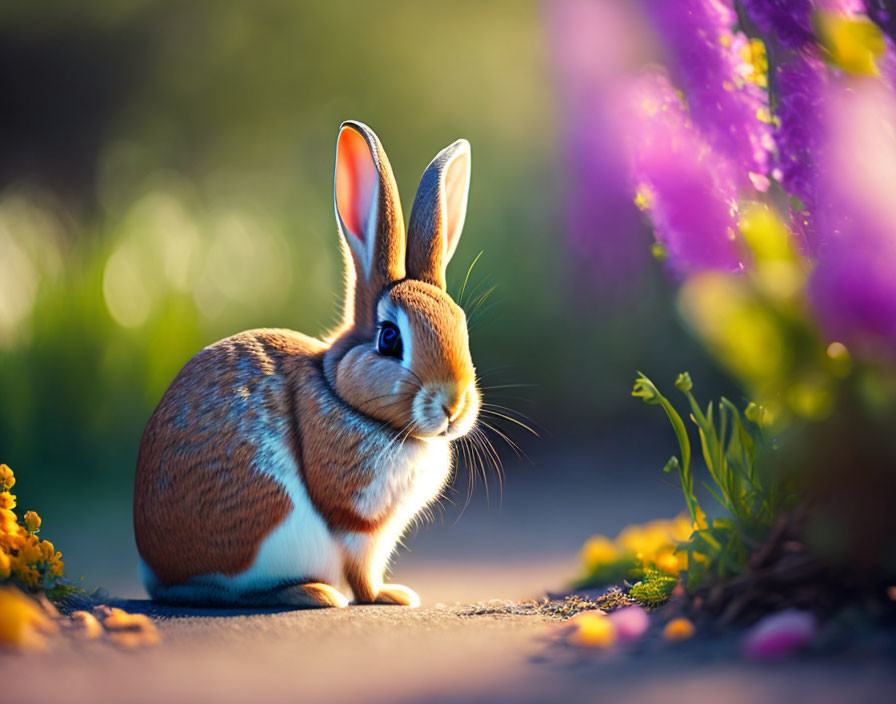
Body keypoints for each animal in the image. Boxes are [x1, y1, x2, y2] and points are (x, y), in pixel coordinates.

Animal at [132, 119, 480, 604]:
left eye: (462, 327)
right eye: (390, 339)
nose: (454, 404)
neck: (341, 394)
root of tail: (154, 567)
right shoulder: (356, 522)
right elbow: (362, 572)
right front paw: (389, 596)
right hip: (266, 528)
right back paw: (315, 593)